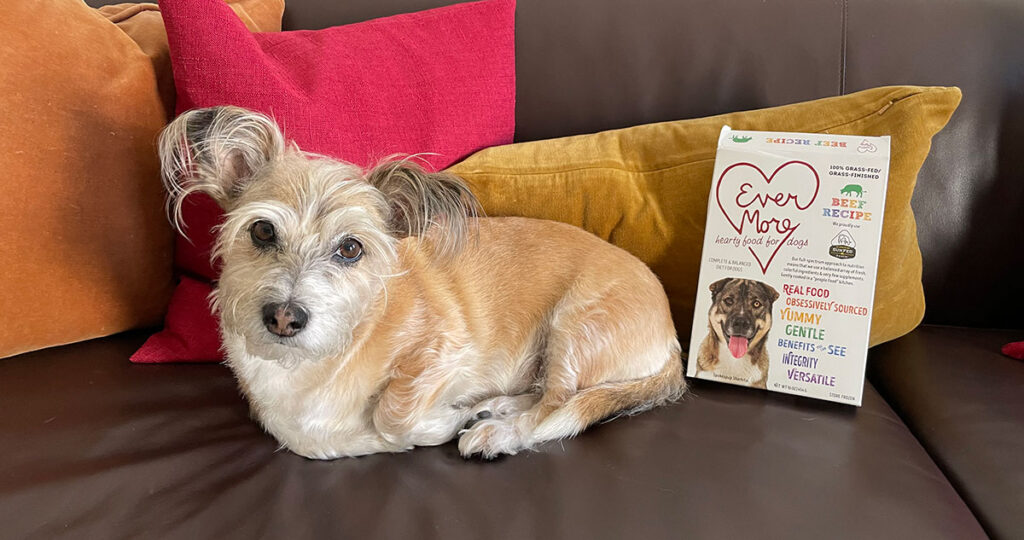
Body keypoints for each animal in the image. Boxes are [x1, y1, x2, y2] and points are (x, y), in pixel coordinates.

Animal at [159, 106, 684, 461]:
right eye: (263, 231)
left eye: (351, 249)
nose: (284, 317)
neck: (313, 366)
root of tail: (673, 345)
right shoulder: (291, 425)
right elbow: (318, 438)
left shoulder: (444, 347)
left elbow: (391, 415)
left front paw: (442, 420)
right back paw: (497, 407)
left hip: (574, 328)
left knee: (559, 407)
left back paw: (500, 430)